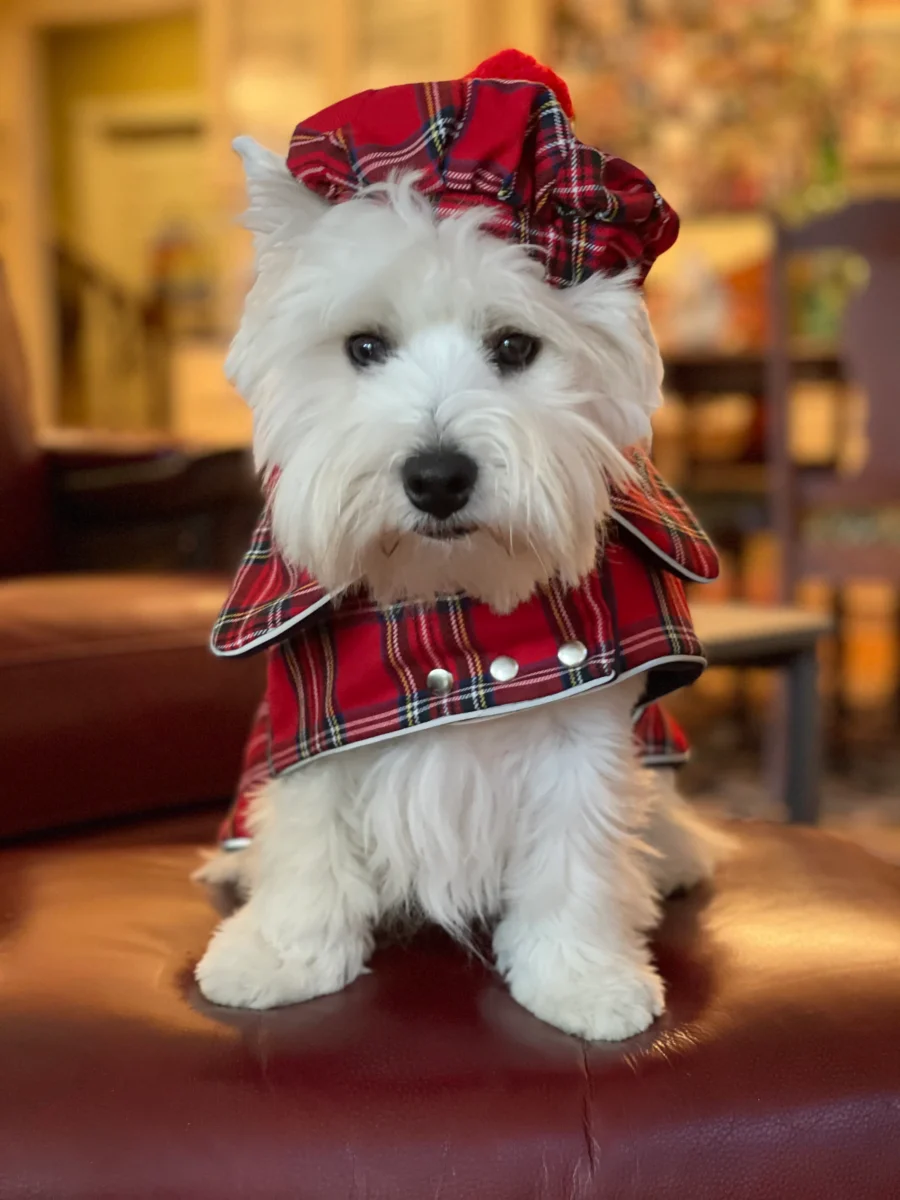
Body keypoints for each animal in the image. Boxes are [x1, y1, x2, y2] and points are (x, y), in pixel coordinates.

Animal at [194, 138, 724, 1041]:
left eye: (514, 346)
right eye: (364, 347)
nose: (437, 478)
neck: (446, 608)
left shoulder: (584, 717)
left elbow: (578, 851)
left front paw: (583, 979)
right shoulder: (306, 712)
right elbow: (307, 832)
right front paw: (279, 956)